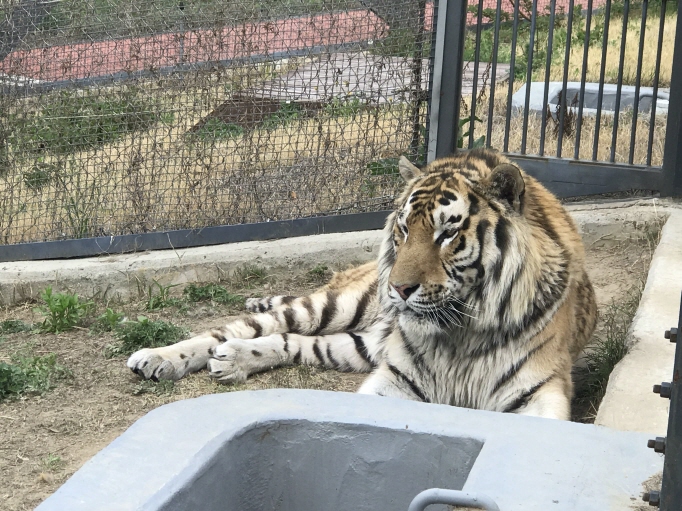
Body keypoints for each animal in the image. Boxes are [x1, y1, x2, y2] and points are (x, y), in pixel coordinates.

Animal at [127, 147, 596, 420]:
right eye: (404, 229)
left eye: (447, 233)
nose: (400, 289)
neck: (459, 335)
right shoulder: (393, 380)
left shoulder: (540, 392)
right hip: (334, 307)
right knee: (232, 329)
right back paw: (156, 357)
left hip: (361, 344)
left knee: (293, 342)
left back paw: (232, 361)